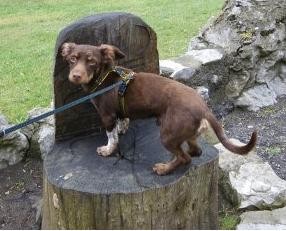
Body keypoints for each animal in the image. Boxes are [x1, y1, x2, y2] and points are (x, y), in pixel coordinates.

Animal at [61, 42, 256, 175]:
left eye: (92, 62)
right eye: (72, 59)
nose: (75, 76)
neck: (103, 77)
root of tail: (204, 107)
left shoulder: (107, 115)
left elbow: (111, 137)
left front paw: (107, 150)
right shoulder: (119, 113)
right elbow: (122, 122)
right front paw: (122, 129)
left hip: (168, 135)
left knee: (185, 157)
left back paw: (164, 168)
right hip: (186, 133)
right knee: (194, 152)